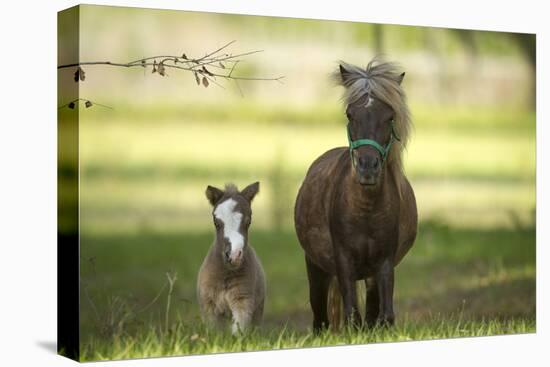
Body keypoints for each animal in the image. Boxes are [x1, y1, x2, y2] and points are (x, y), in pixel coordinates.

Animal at [298, 59, 418, 332]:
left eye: (390, 116)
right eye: (350, 114)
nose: (367, 167)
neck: (366, 209)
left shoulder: (384, 262)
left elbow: (384, 316)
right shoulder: (343, 261)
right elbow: (352, 315)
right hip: (316, 267)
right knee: (320, 319)